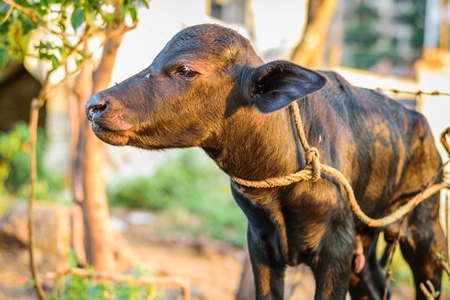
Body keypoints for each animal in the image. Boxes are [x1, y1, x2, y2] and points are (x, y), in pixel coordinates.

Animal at [86, 24, 444, 300]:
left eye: (186, 70)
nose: (94, 106)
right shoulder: (260, 246)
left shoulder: (335, 251)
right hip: (366, 244)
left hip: (426, 234)